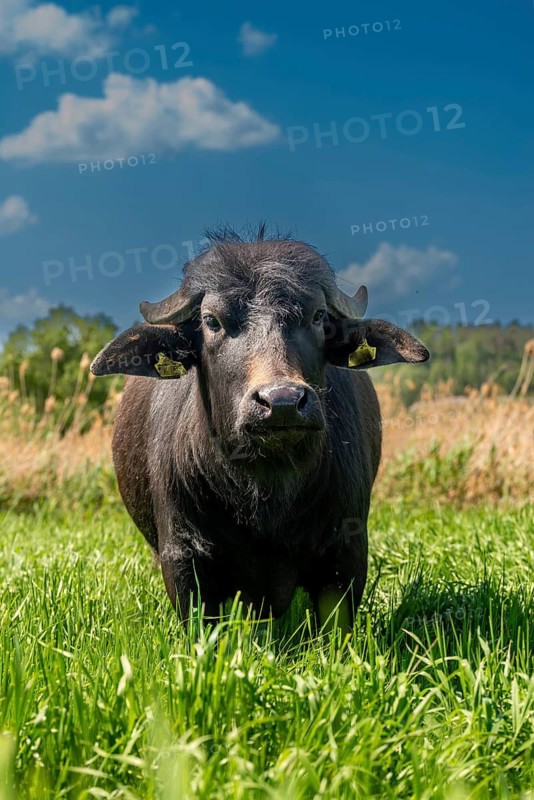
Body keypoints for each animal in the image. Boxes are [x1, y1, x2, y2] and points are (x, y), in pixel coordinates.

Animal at [91, 228, 429, 627]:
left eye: (318, 316)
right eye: (212, 321)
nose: (282, 401)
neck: (266, 486)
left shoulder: (347, 553)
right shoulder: (182, 557)